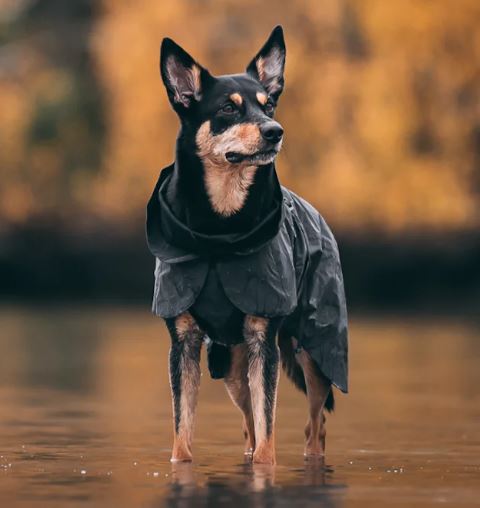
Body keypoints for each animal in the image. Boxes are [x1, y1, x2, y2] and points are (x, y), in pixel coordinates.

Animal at [144, 26, 346, 464]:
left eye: (268, 106)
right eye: (228, 109)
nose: (275, 131)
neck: (219, 231)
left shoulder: (263, 339)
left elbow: (270, 430)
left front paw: (266, 468)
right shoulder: (183, 341)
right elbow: (182, 433)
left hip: (311, 353)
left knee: (314, 426)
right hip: (235, 367)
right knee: (249, 425)